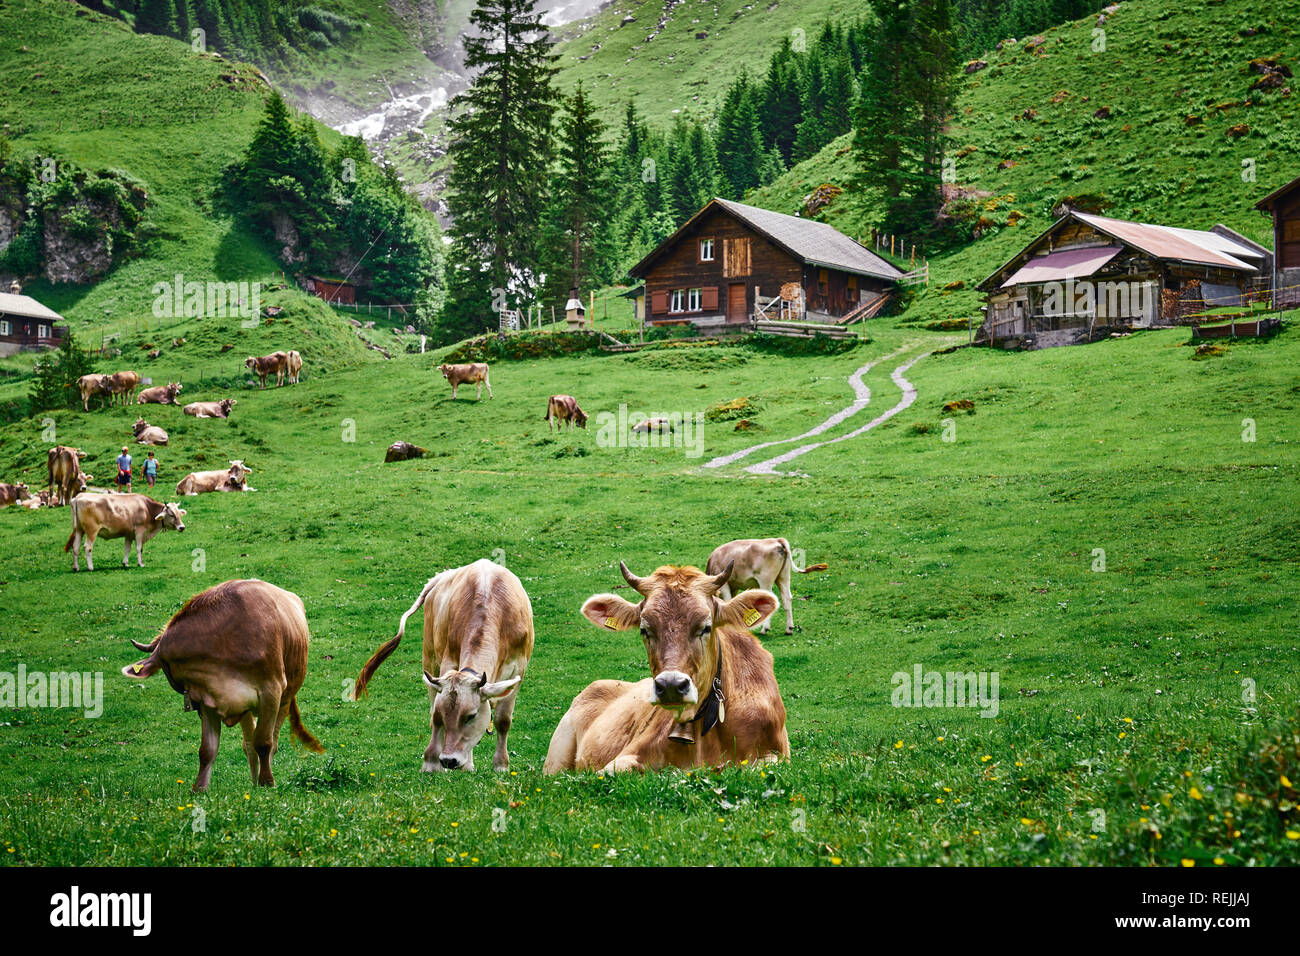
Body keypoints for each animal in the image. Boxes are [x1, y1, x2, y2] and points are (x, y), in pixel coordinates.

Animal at [120, 580, 323, 796]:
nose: (190, 703)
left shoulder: (271, 691)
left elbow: (264, 743)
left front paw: (267, 782)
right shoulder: (207, 700)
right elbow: (207, 750)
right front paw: (200, 788)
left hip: (286, 696)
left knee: (270, 741)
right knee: (248, 744)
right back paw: (253, 783)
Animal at [351, 561, 533, 770]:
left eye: (471, 715)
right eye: (447, 714)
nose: (449, 760)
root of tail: (442, 575)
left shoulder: (519, 670)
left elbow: (503, 720)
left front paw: (501, 765)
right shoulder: (448, 664)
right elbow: (436, 717)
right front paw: (432, 763)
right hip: (429, 657)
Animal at [540, 561, 785, 780]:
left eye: (706, 627)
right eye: (644, 629)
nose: (671, 686)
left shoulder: (775, 753)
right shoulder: (623, 757)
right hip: (555, 762)